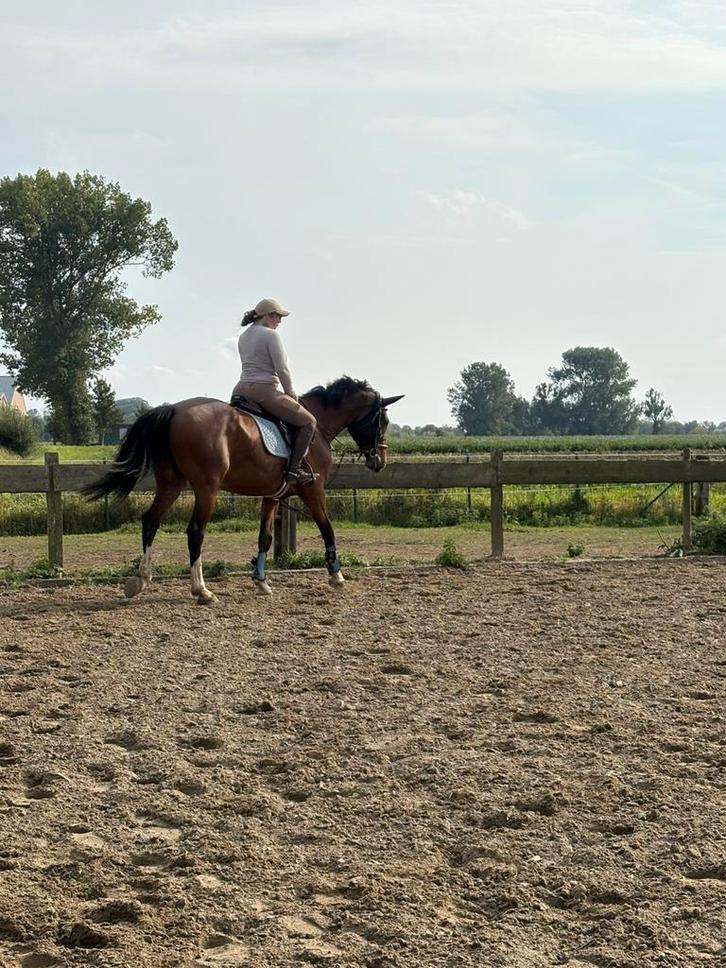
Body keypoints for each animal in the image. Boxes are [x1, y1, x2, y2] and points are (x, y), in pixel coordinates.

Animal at [83, 377, 403, 604]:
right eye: (384, 421)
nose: (380, 460)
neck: (318, 426)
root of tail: (174, 409)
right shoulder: (313, 491)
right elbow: (328, 529)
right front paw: (336, 576)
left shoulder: (272, 495)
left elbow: (265, 537)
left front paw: (261, 581)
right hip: (207, 489)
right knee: (195, 531)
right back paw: (201, 590)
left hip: (171, 484)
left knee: (150, 520)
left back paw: (141, 579)